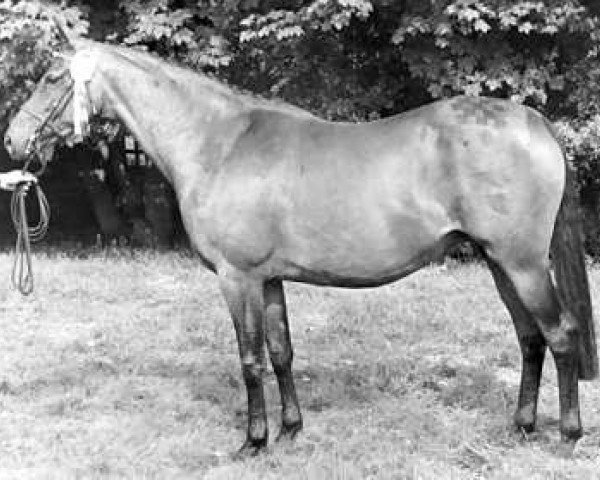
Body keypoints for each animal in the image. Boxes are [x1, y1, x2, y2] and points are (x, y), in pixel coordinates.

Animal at [3, 35, 596, 456]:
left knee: (560, 336)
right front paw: (290, 431)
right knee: (530, 340)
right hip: (500, 264)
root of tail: (536, 124)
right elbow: (282, 353)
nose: (13, 139)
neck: (219, 143)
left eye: (53, 76)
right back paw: (520, 428)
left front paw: (253, 442)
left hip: (522, 265)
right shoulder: (269, 280)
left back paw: (567, 436)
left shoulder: (237, 278)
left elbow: (249, 360)